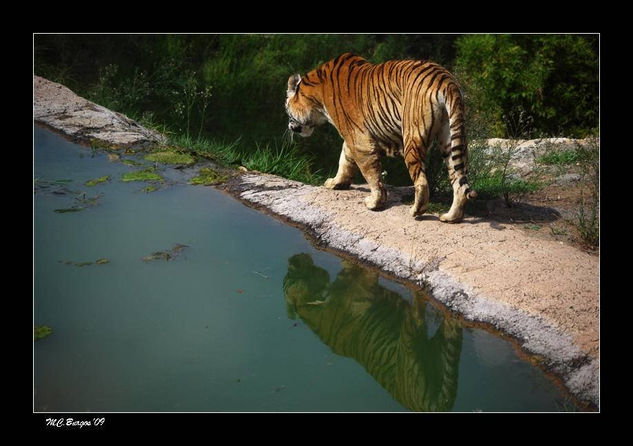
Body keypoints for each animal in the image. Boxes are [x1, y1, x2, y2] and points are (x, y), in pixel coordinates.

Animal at [286, 53, 474, 223]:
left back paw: (416, 211)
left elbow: (371, 173)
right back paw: (451, 217)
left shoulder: (358, 140)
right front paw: (336, 183)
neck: (316, 99)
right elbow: (344, 160)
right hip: (450, 139)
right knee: (458, 180)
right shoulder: (353, 136)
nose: (289, 126)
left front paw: (375, 203)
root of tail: (446, 79)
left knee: (421, 181)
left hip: (412, 137)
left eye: (287, 110)